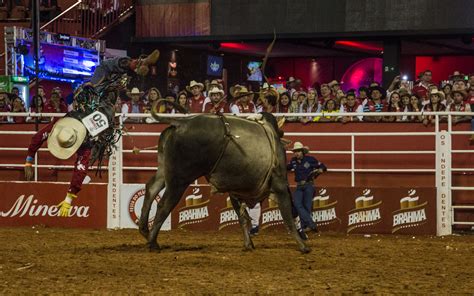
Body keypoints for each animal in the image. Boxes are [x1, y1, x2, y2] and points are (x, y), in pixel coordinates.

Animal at [139, 107, 310, 253]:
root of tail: (180, 123)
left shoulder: (235, 191)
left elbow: (242, 217)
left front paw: (248, 244)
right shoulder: (280, 183)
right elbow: (289, 213)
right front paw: (302, 245)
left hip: (165, 171)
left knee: (151, 188)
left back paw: (144, 230)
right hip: (179, 179)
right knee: (164, 205)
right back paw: (153, 242)